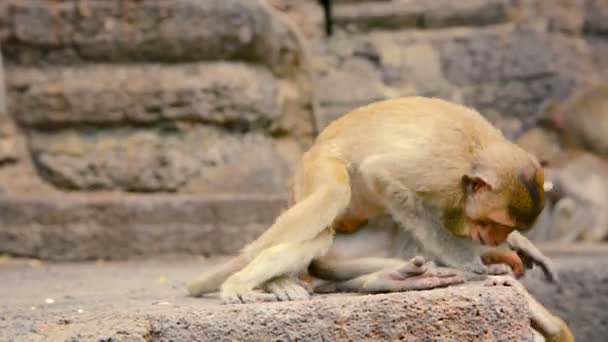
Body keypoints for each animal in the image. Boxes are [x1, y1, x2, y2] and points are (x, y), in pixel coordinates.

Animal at [188, 95, 544, 302]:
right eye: (493, 222)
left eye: (503, 226)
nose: (493, 237)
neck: (477, 152)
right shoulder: (442, 173)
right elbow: (380, 172)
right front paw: (467, 260)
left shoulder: (456, 203)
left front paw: (513, 246)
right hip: (316, 166)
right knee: (331, 196)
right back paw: (247, 275)